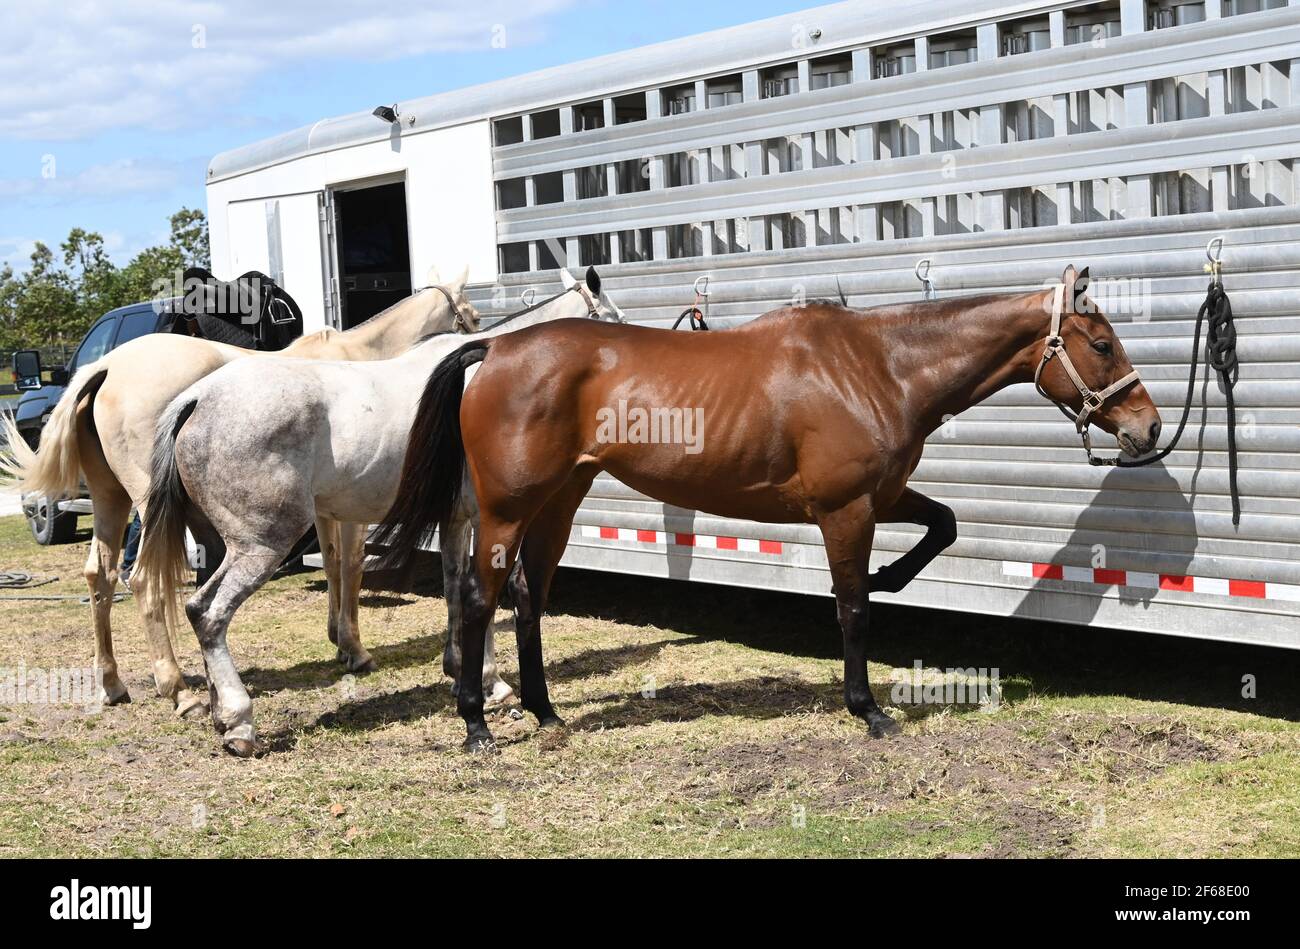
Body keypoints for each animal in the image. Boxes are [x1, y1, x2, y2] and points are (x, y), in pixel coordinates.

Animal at [0, 266, 478, 707]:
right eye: (471, 316)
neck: (365, 361)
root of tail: (105, 365)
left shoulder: (327, 508)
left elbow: (331, 563)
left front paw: (340, 643)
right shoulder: (350, 512)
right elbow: (352, 565)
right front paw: (355, 649)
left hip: (109, 498)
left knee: (100, 574)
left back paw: (113, 684)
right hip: (150, 507)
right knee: (145, 579)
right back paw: (177, 689)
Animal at [134, 266, 621, 754]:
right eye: (617, 322)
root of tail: (198, 398)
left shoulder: (455, 520)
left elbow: (455, 589)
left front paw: (462, 674)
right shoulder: (487, 519)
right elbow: (479, 591)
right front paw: (493, 685)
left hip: (224, 545)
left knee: (197, 608)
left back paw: (218, 713)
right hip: (261, 546)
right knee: (210, 614)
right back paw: (239, 723)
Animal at [374, 263, 1159, 748]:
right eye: (1101, 342)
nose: (1149, 429)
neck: (880, 367)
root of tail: (494, 351)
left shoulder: (882, 495)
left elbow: (944, 523)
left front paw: (892, 576)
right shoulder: (847, 509)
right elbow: (852, 607)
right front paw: (868, 709)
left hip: (559, 503)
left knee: (529, 597)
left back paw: (544, 712)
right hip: (508, 509)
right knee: (479, 596)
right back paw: (477, 725)